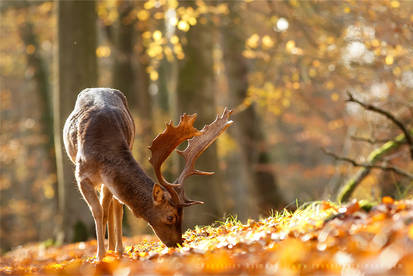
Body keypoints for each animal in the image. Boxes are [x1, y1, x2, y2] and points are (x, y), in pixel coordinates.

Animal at [63, 87, 232, 260]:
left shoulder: (107, 179)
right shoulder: (82, 175)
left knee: (116, 206)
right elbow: (98, 212)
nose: (178, 243)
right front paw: (100, 256)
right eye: (170, 217)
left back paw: (117, 250)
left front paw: (106, 254)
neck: (103, 149)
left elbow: (106, 210)